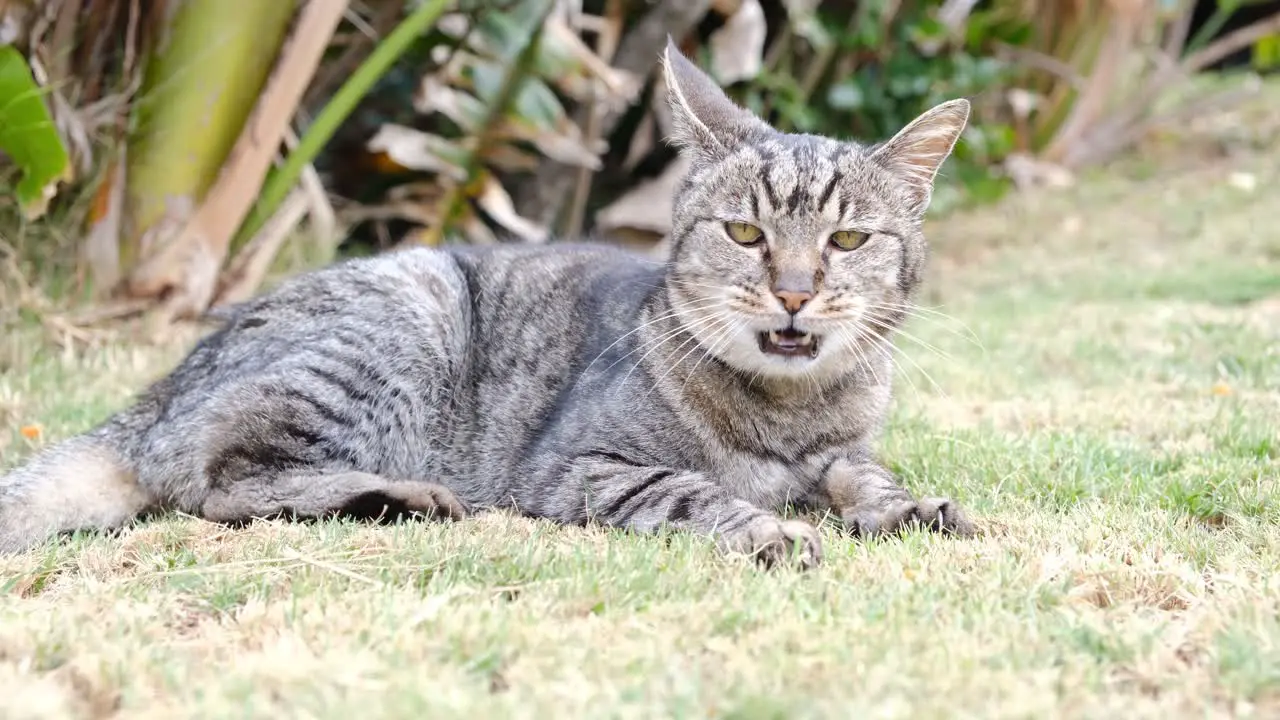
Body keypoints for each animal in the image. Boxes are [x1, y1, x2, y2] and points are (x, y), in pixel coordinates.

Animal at [0, 39, 972, 566]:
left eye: (847, 243)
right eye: (744, 233)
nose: (795, 292)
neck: (787, 412)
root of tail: (160, 390)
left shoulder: (844, 449)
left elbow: (861, 473)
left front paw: (907, 507)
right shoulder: (579, 466)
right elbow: (696, 493)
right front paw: (767, 528)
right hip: (407, 315)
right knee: (216, 480)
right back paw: (400, 496)